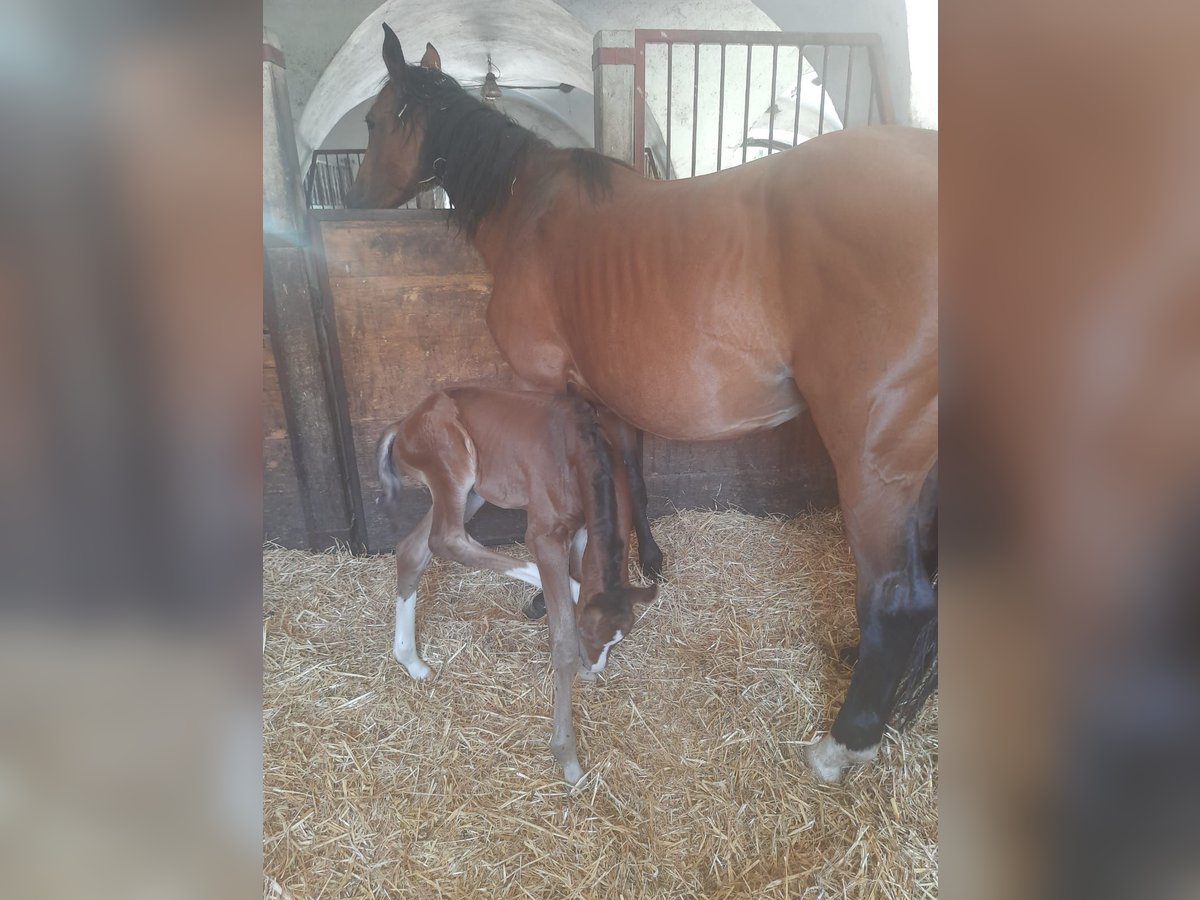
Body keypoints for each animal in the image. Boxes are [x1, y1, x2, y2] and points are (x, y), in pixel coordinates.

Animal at [376, 384, 652, 787]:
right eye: (589, 633)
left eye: (620, 637)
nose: (595, 665)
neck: (579, 448)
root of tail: (403, 424)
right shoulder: (546, 534)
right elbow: (563, 640)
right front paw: (567, 759)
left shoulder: (585, 528)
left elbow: (588, 577)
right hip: (452, 468)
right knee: (446, 540)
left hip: (471, 491)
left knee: (413, 549)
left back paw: (411, 661)